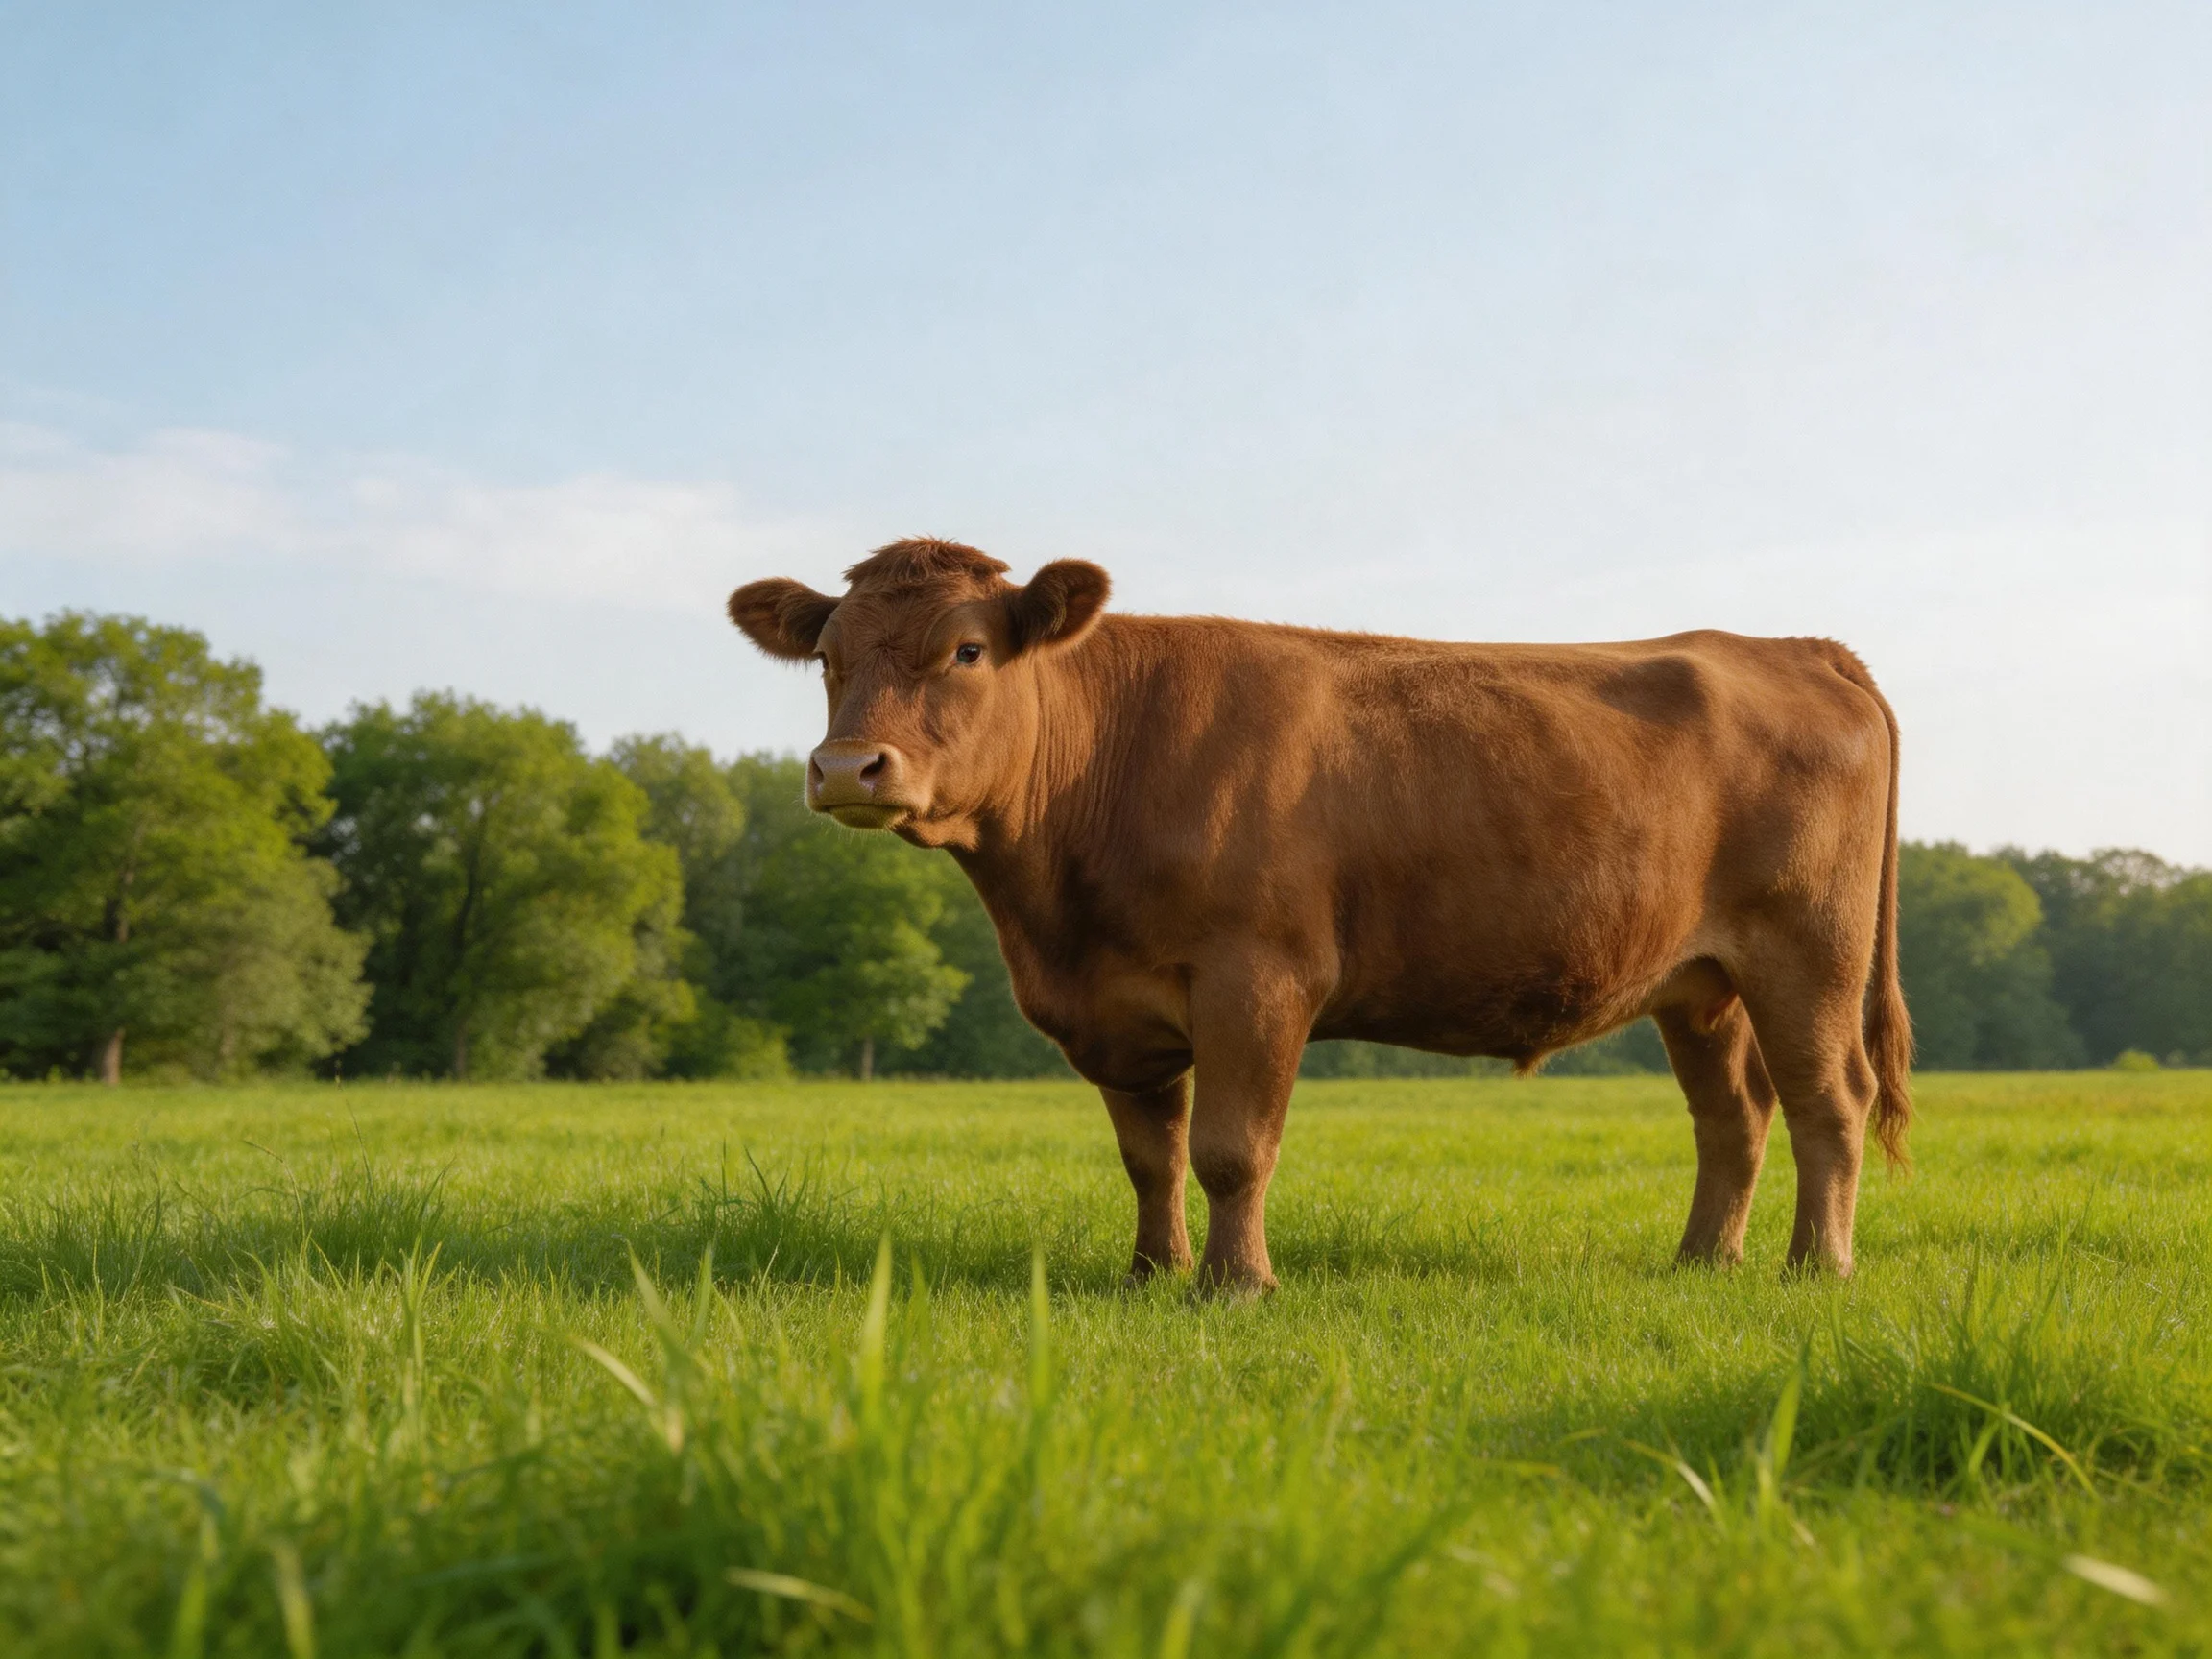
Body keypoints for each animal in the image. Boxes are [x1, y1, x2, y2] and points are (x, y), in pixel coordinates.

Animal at [729, 538, 1912, 1291]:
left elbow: (1230, 1148)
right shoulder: (1120, 1006)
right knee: (1735, 1115)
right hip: (1700, 984)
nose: (847, 767)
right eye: (828, 658)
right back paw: (1703, 1261)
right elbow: (1151, 1155)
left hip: (1809, 951)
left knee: (1830, 1100)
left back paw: (1817, 1268)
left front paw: (1234, 1284)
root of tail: (1793, 646)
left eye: (967, 651)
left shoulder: (1258, 977)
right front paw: (1149, 1273)